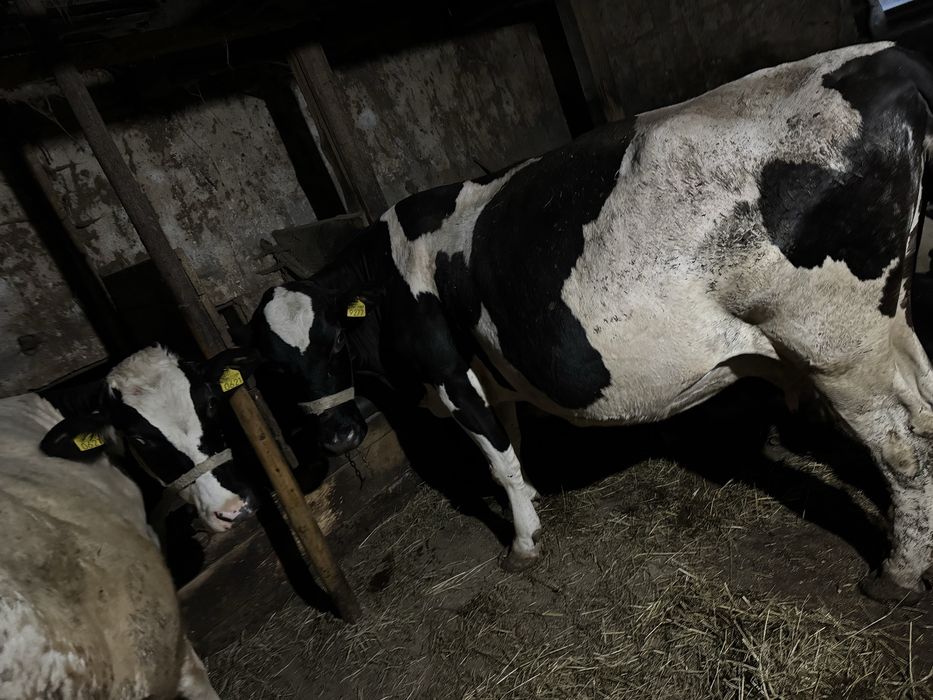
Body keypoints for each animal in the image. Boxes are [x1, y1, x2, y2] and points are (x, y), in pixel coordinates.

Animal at [248, 42, 933, 601]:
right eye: (274, 372)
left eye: (332, 342)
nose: (338, 436)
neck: (388, 277)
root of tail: (890, 60)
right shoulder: (491, 373)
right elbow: (510, 441)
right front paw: (530, 501)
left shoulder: (447, 370)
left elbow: (494, 457)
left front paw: (523, 542)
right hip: (887, 321)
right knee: (925, 401)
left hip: (836, 344)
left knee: (903, 443)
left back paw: (897, 575)